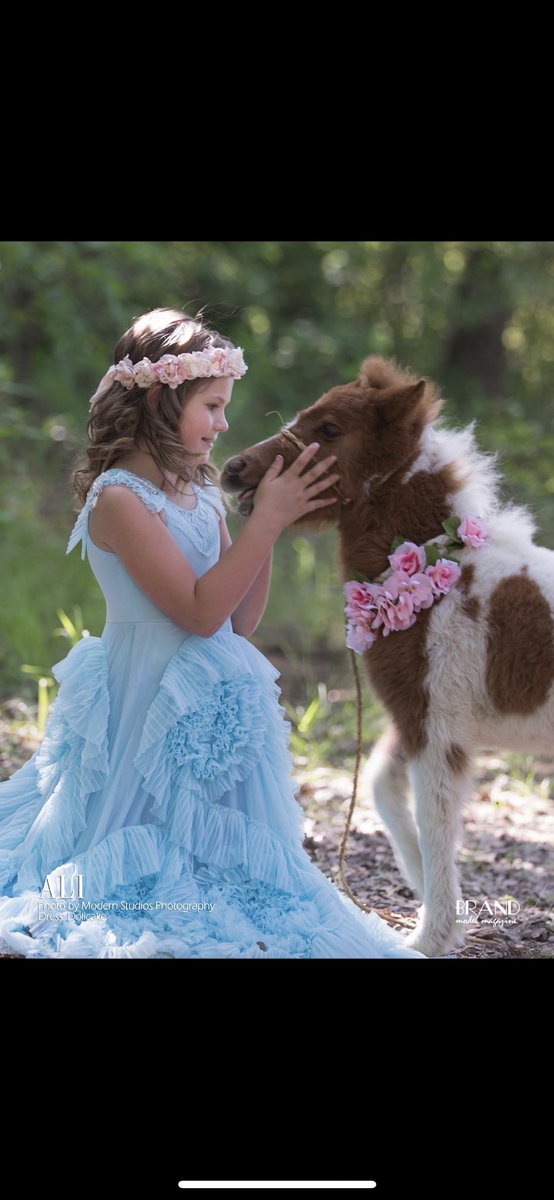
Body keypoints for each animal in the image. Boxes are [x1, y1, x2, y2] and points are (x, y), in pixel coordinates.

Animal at [220, 352, 554, 955]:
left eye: (330, 430)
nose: (233, 468)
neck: (442, 575)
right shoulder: (417, 717)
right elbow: (383, 789)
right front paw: (440, 905)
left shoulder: (436, 726)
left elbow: (436, 817)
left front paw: (429, 938)